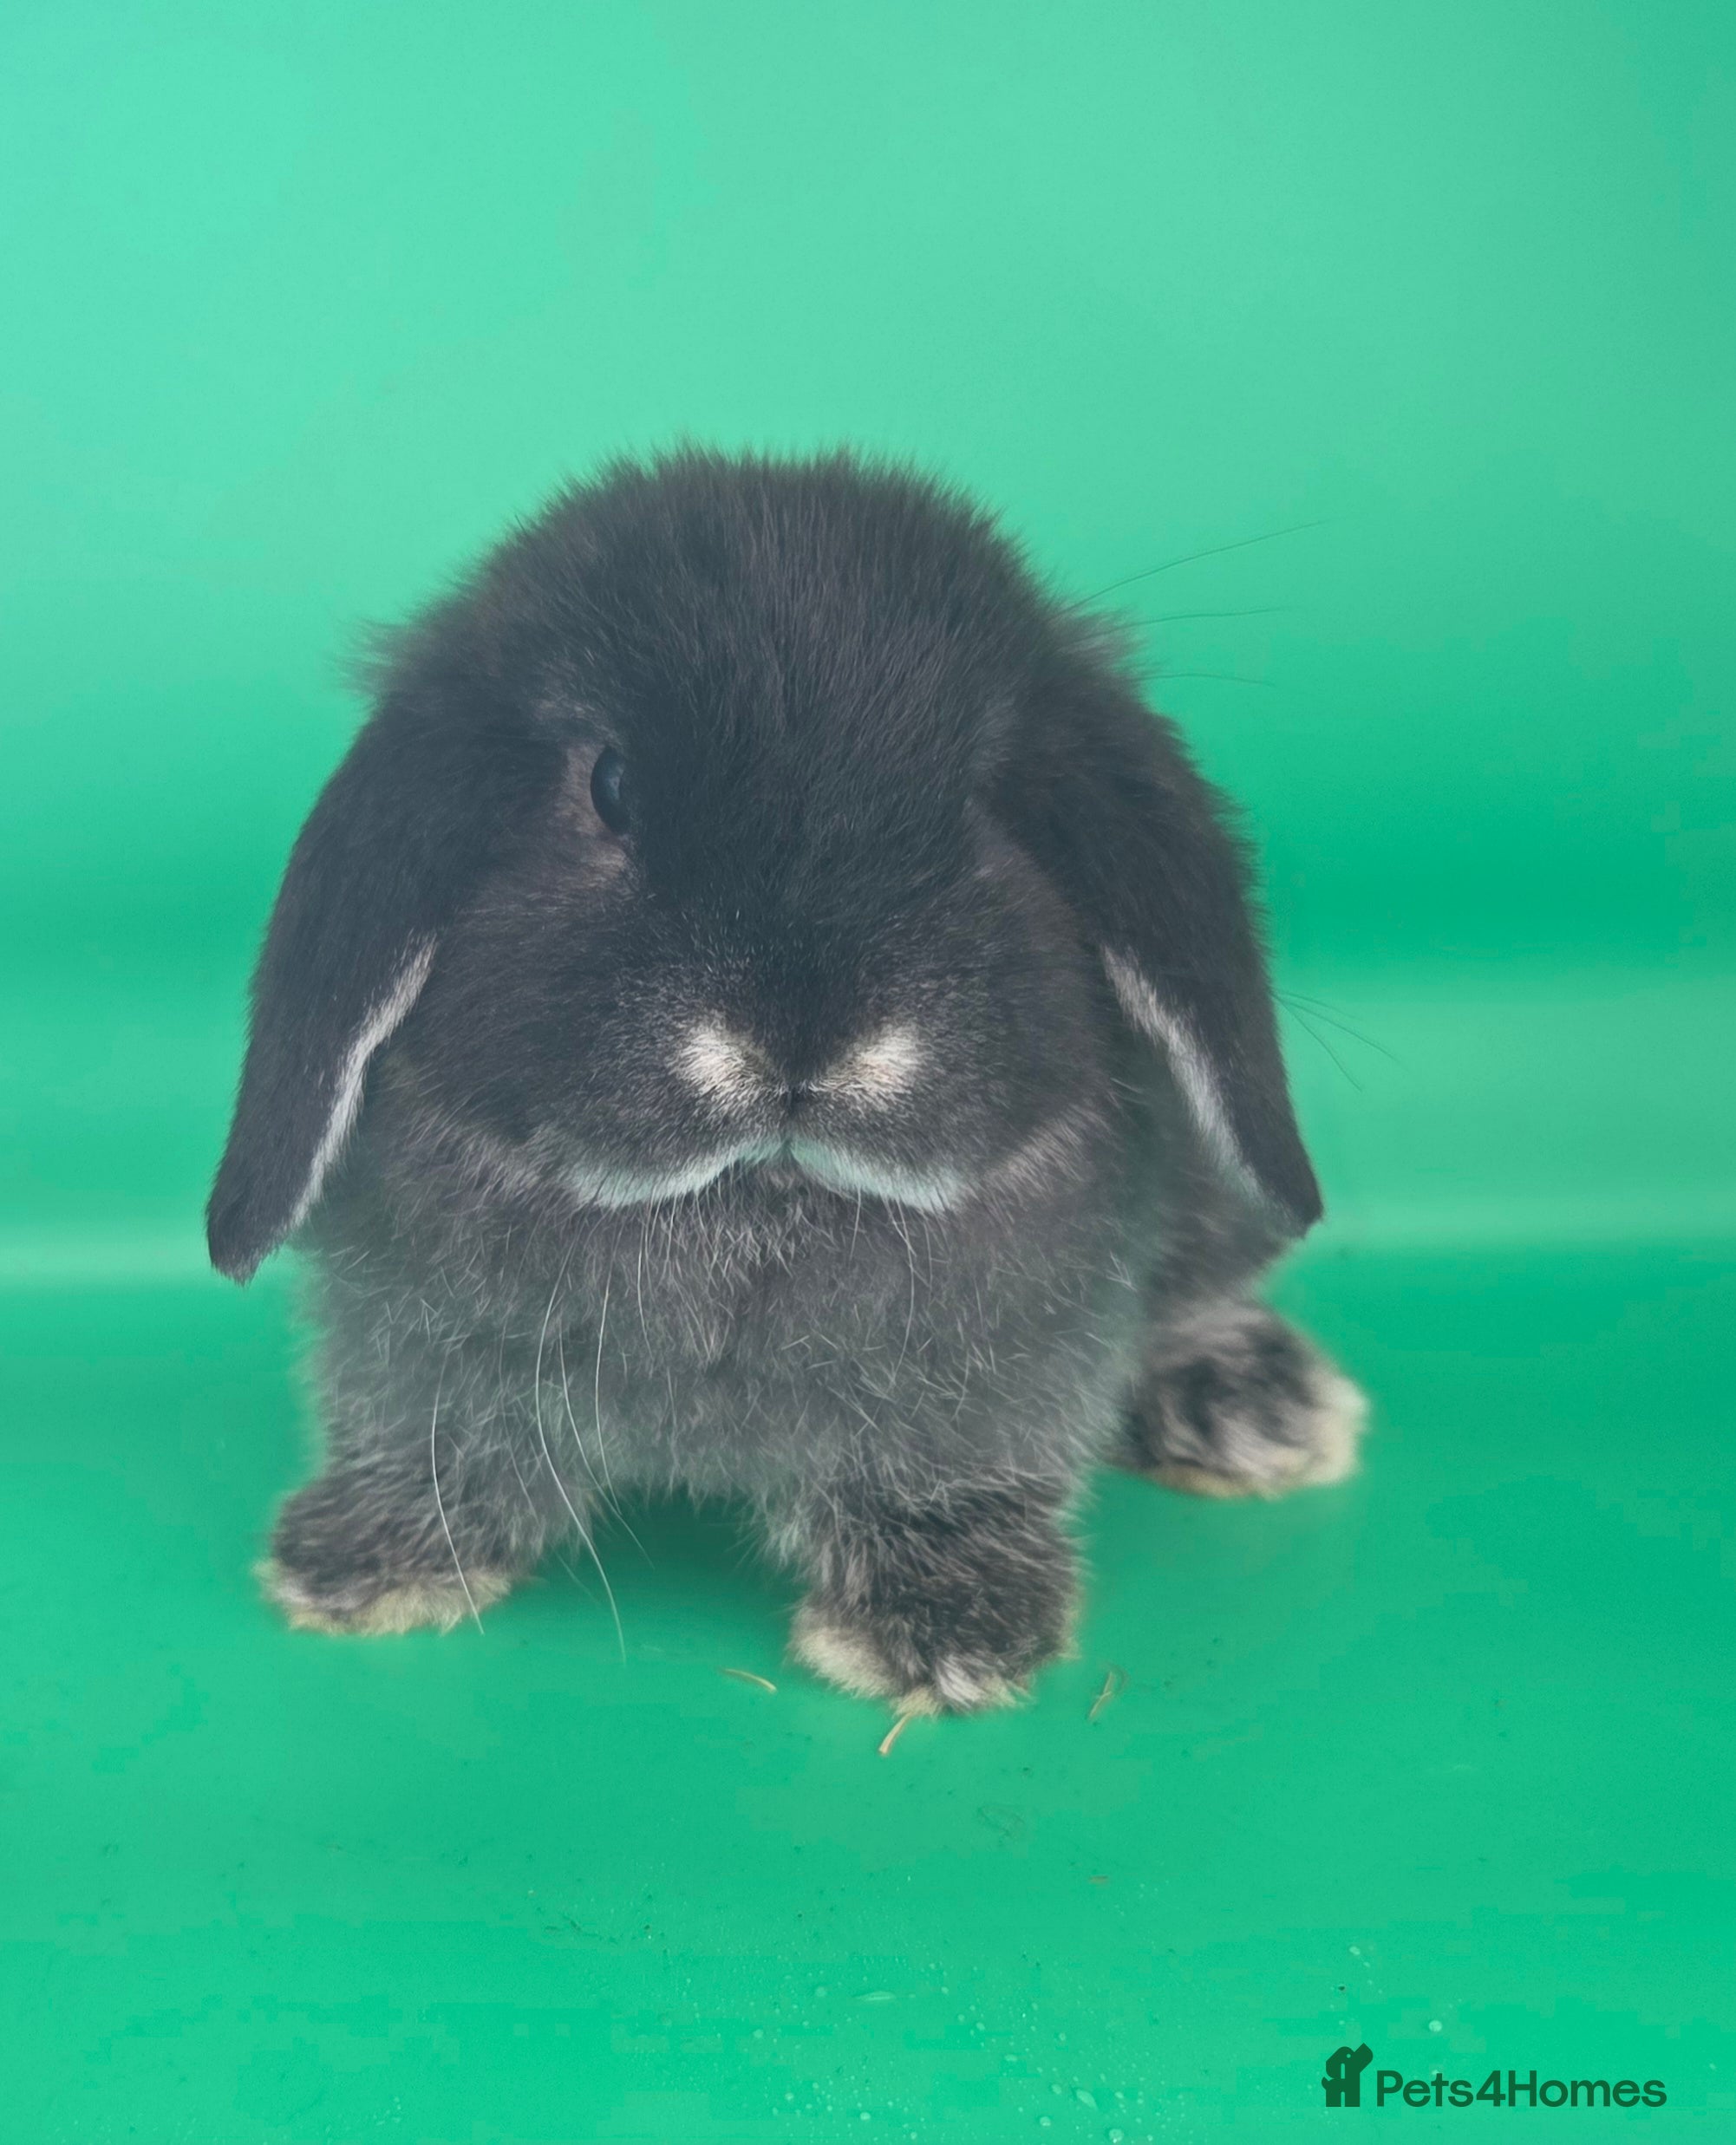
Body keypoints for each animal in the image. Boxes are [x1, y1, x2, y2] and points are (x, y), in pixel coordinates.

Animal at [208, 448, 1365, 1714]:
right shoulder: (415, 1344)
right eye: (610, 785)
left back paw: (1253, 1404)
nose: (802, 1041)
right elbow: (429, 1439)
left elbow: (952, 1472)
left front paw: (942, 1629)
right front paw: (362, 1565)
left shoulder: (991, 1382)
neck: (752, 1203)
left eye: (978, 802)